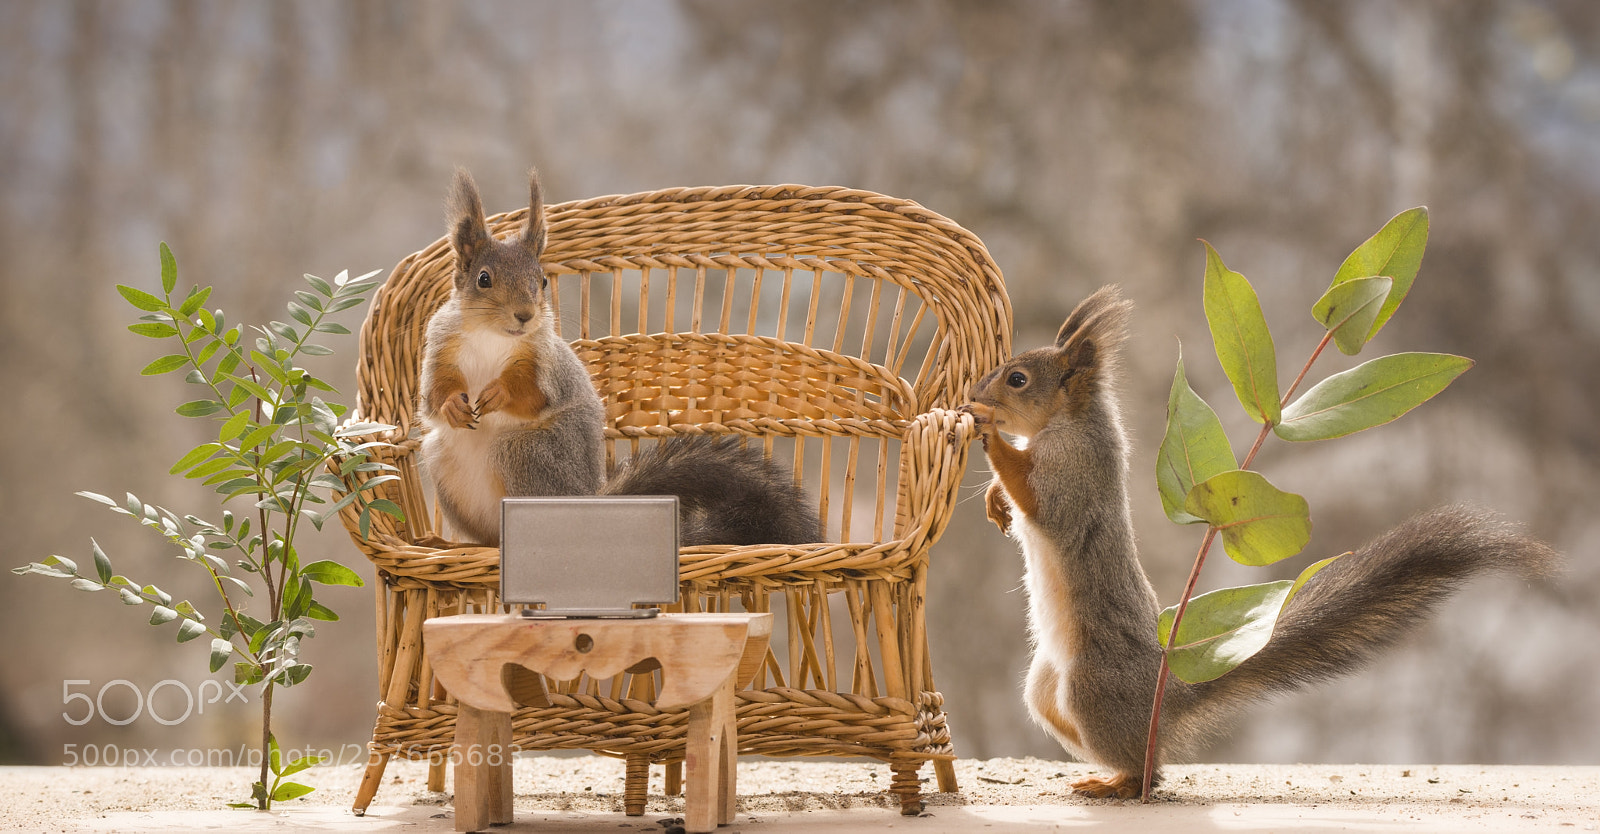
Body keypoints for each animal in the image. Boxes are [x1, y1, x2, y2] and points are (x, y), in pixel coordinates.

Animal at [419, 168, 820, 547]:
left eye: (542, 281)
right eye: (484, 279)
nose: (525, 315)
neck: (492, 338)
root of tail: (589, 504)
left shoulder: (546, 364)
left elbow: (534, 396)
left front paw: (499, 393)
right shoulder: (440, 349)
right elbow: (433, 399)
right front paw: (453, 405)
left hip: (526, 453)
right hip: (443, 459)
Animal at [960, 285, 1558, 800]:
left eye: (1017, 379)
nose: (973, 394)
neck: (1069, 422)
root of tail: (1166, 694)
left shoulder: (1075, 473)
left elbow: (1038, 499)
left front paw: (988, 432)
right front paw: (994, 499)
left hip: (1090, 687)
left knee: (1151, 768)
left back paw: (1119, 782)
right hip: (1047, 693)